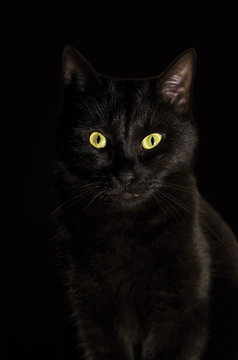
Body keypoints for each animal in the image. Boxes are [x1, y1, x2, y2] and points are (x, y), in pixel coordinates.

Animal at [53, 46, 238, 358]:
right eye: (97, 139)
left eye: (152, 140)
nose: (126, 175)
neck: (125, 229)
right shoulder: (90, 306)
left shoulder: (182, 306)